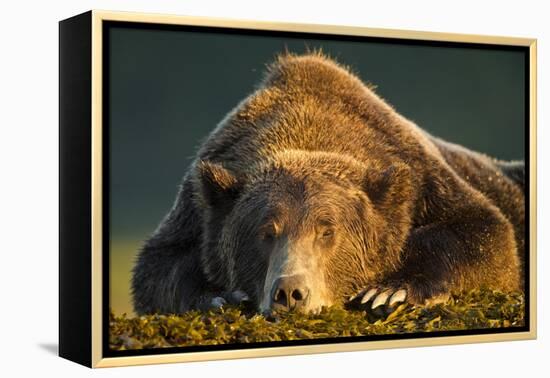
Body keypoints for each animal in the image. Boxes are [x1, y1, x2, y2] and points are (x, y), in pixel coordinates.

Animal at [130, 51, 528, 316]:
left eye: (327, 231)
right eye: (266, 232)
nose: (290, 292)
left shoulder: (423, 178)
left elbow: (485, 236)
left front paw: (388, 291)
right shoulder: (198, 207)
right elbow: (159, 267)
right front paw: (220, 296)